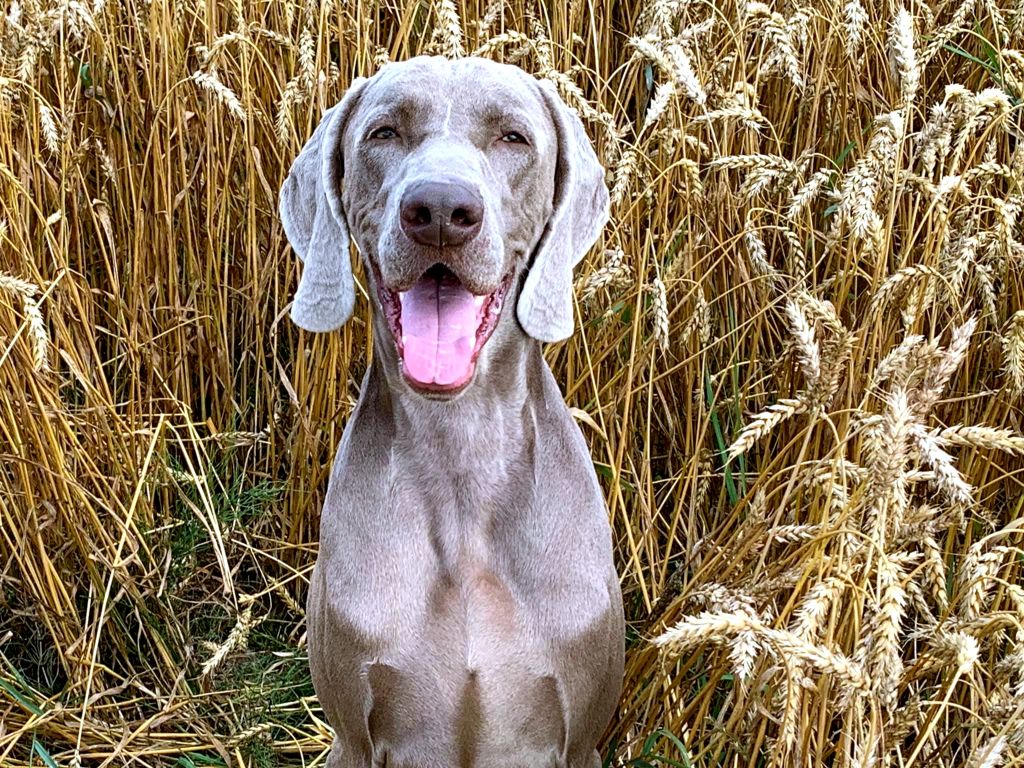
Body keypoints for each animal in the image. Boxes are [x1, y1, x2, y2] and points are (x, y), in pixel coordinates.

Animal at [276, 55, 622, 768]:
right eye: (383, 133)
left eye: (514, 138)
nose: (439, 209)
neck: (460, 451)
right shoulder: (352, 738)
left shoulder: (581, 739)